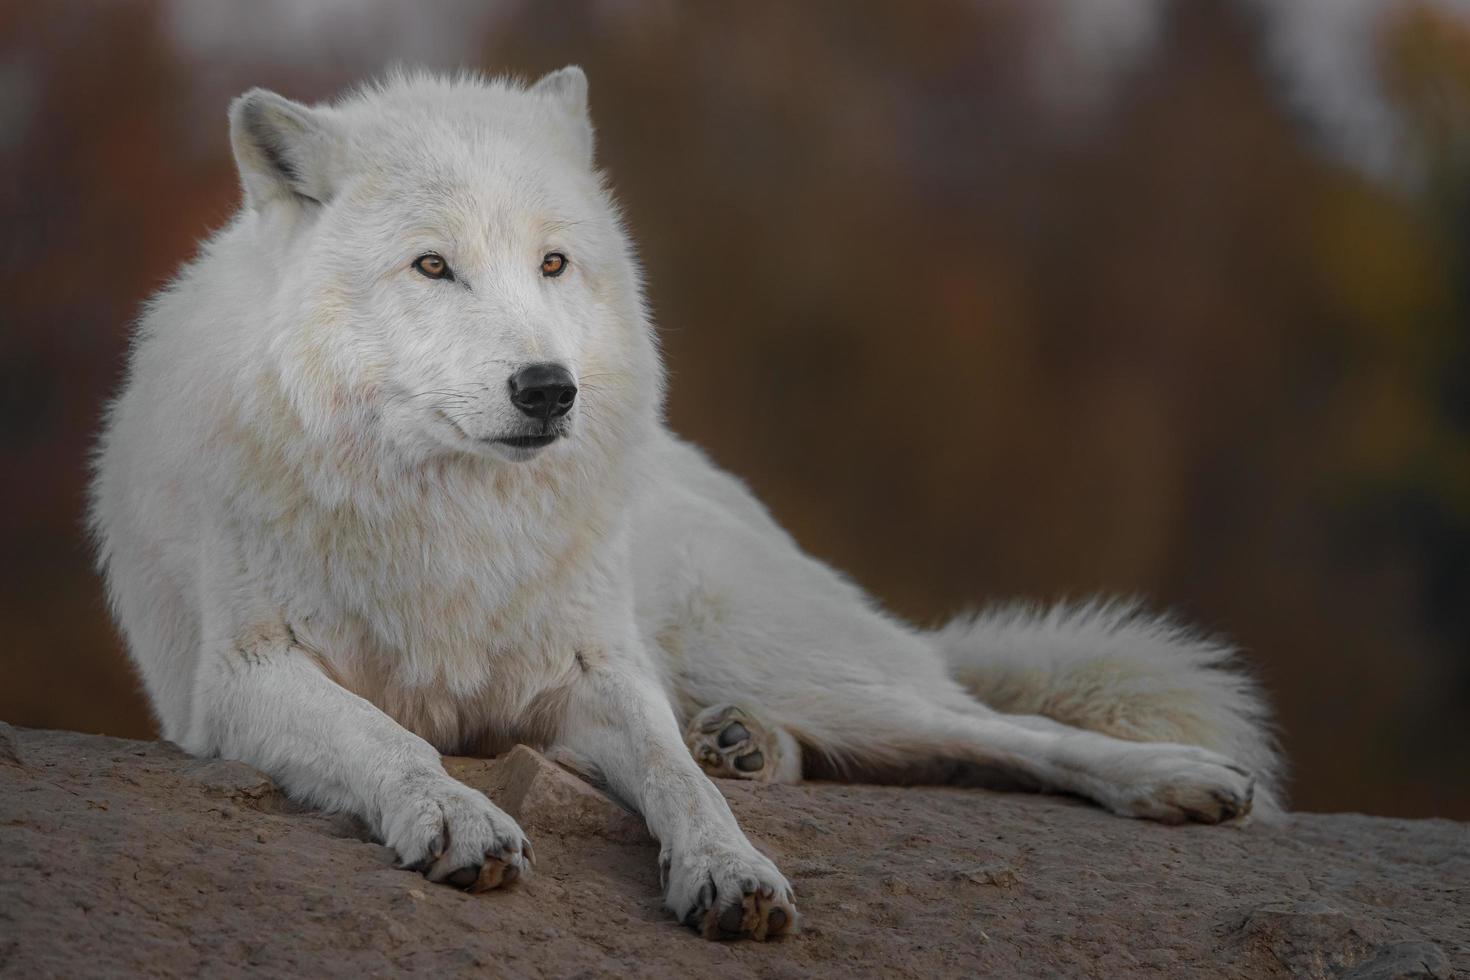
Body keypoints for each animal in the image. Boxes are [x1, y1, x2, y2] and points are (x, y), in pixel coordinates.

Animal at [91, 69, 1281, 940]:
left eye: (554, 263)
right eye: (432, 267)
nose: (548, 388)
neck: (456, 522)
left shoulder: (593, 672)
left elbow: (674, 780)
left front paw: (730, 865)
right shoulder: (239, 679)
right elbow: (388, 738)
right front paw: (456, 813)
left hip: (783, 655)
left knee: (993, 727)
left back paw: (1174, 779)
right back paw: (746, 742)